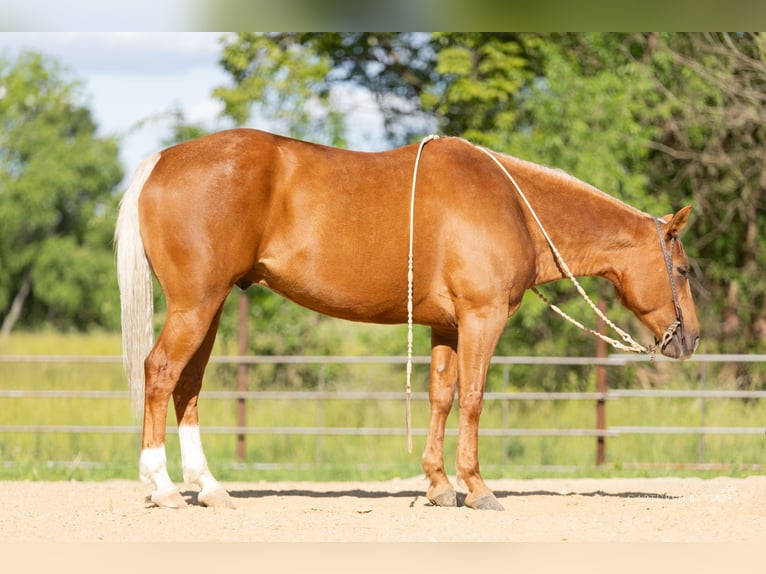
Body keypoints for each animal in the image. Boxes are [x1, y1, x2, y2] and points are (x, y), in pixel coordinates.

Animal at [115, 129, 704, 512]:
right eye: (682, 269)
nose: (692, 339)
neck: (512, 205)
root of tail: (162, 160)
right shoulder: (482, 319)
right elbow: (473, 398)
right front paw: (478, 488)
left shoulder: (446, 326)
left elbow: (441, 398)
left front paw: (440, 487)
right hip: (196, 306)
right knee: (161, 372)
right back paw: (162, 487)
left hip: (208, 310)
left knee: (188, 386)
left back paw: (209, 488)